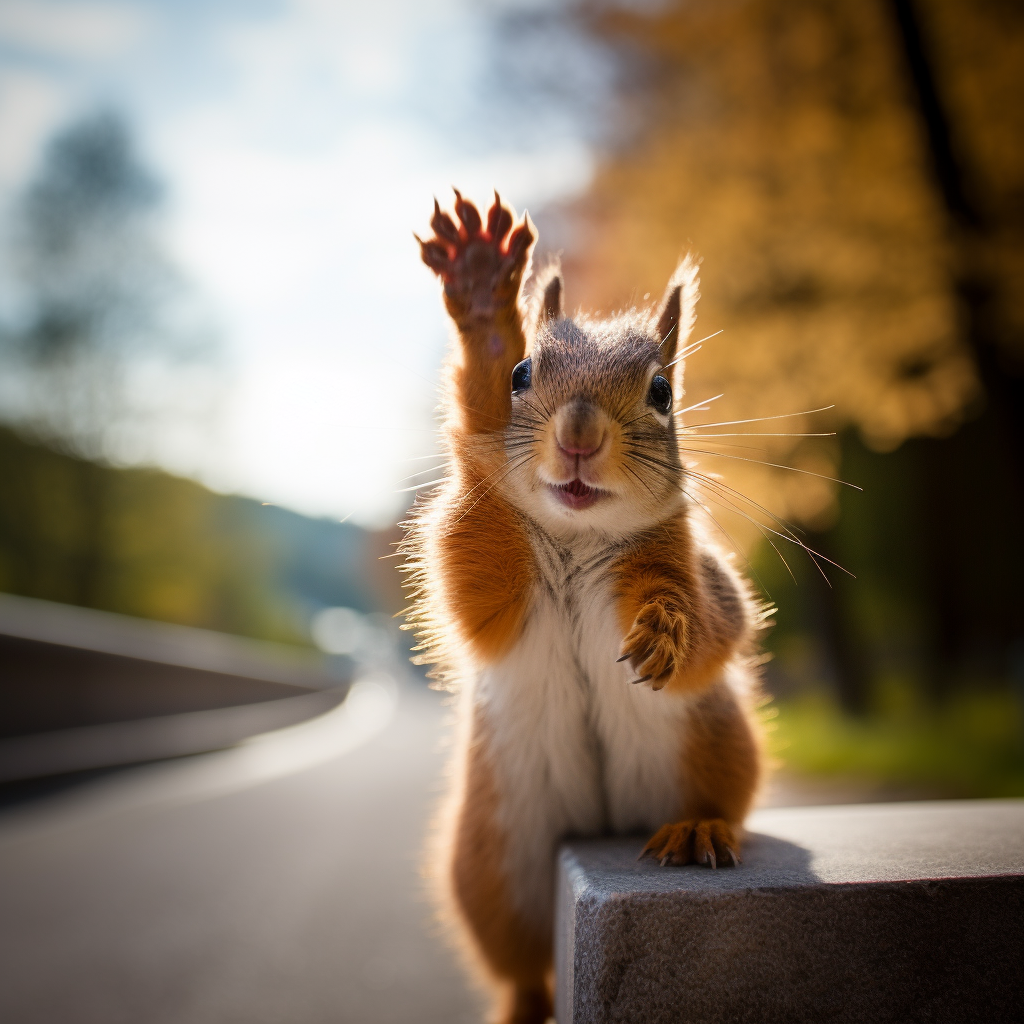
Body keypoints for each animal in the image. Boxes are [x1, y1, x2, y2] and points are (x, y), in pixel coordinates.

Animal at [403, 190, 765, 1024]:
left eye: (663, 392)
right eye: (521, 372)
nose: (578, 434)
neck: (575, 538)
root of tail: (601, 825)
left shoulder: (701, 577)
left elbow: (713, 630)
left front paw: (665, 630)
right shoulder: (483, 552)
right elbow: (474, 579)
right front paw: (483, 296)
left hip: (715, 749)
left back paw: (699, 828)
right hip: (492, 867)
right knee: (522, 969)